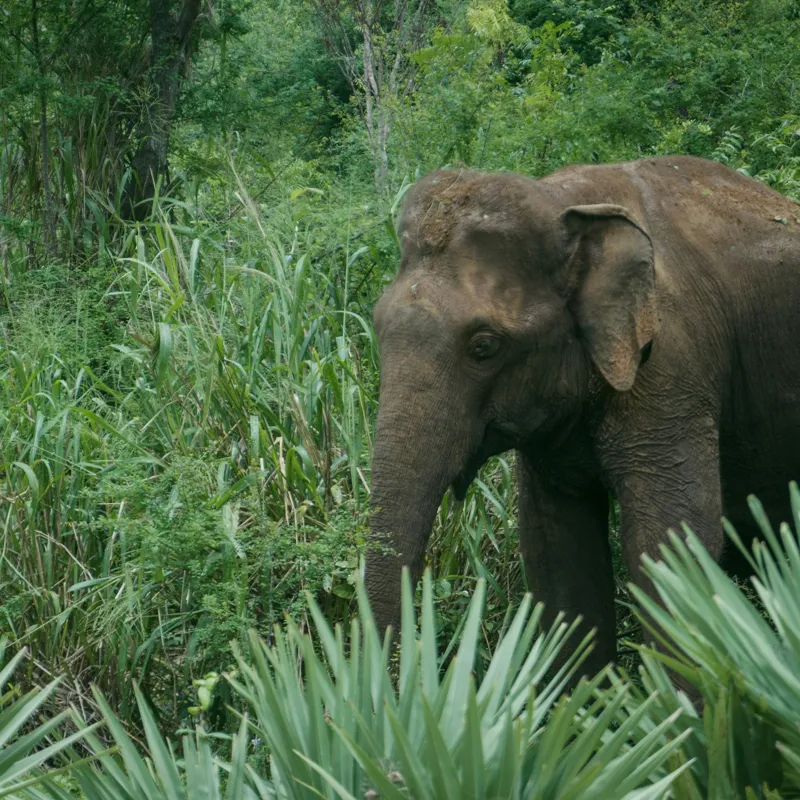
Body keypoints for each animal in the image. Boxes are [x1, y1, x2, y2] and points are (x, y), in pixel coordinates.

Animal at [365, 155, 800, 677]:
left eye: (484, 346)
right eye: (377, 325)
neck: (565, 202)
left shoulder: (672, 367)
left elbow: (672, 542)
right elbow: (558, 552)